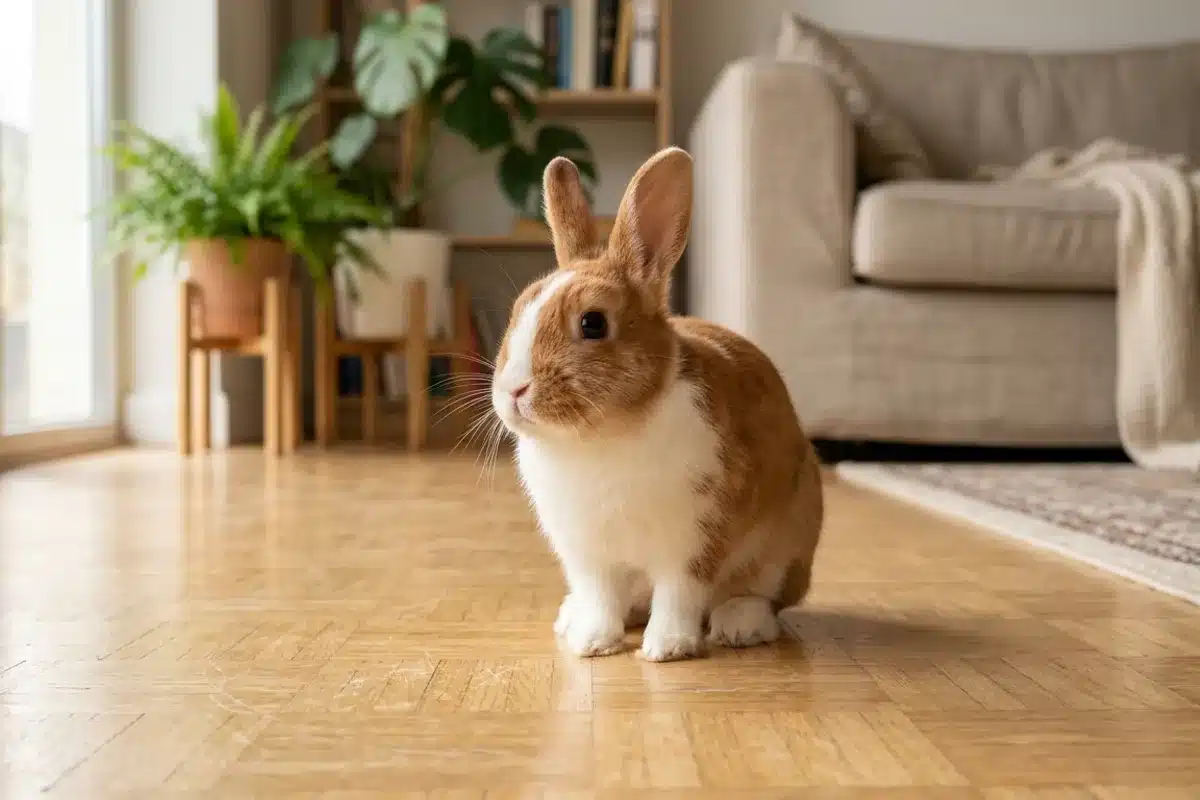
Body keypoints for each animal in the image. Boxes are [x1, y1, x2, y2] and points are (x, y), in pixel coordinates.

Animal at [490, 147, 824, 662]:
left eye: (592, 323)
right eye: (517, 311)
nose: (514, 391)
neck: (601, 437)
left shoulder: (693, 543)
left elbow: (679, 595)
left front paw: (667, 648)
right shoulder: (589, 555)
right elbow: (601, 597)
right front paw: (592, 643)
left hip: (785, 548)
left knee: (762, 598)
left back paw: (738, 625)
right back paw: (571, 617)